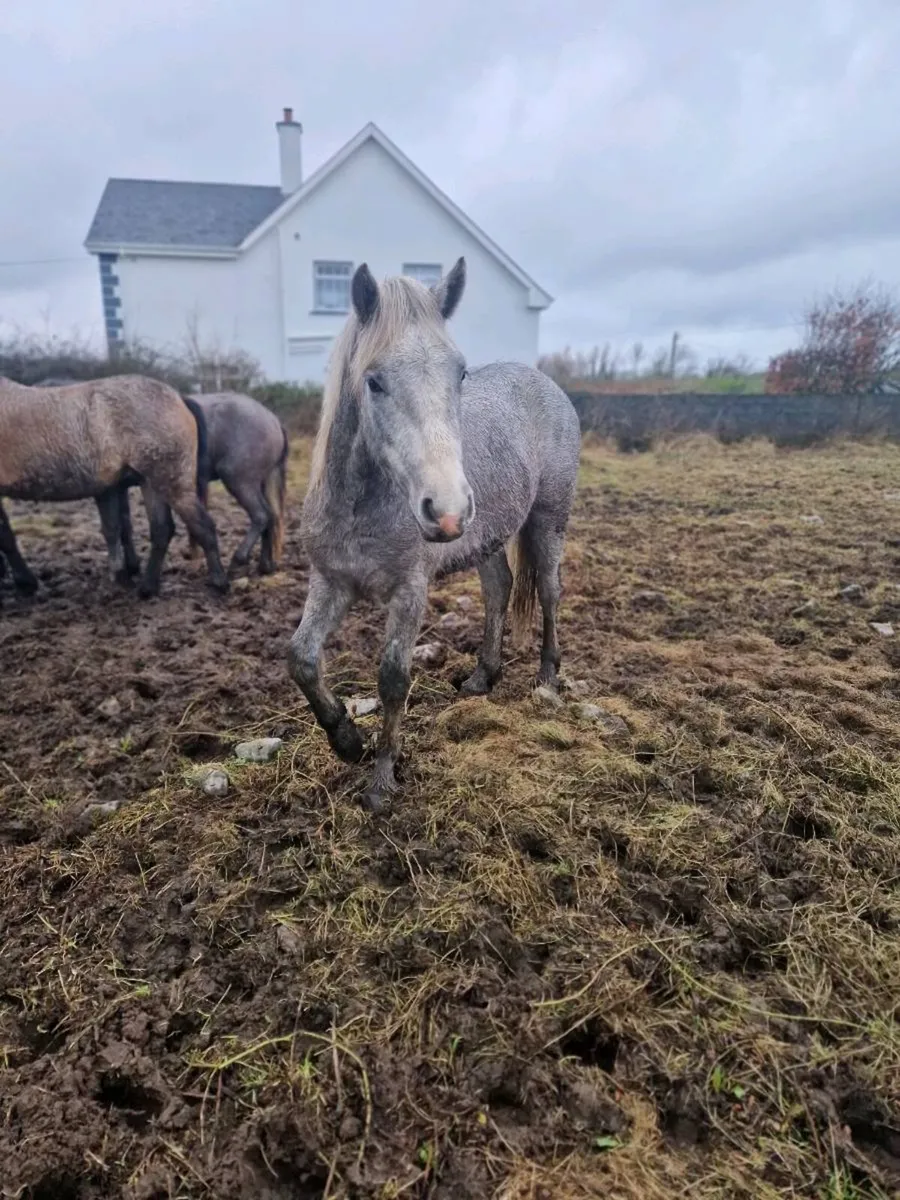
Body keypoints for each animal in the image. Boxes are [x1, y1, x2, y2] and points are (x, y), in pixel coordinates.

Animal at [0, 374, 228, 599]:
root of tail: (178, 397)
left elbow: (6, 536)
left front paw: (26, 582)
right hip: (150, 483)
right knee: (162, 529)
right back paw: (147, 587)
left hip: (172, 484)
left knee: (204, 526)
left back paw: (219, 583)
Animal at [287, 257, 581, 812]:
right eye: (374, 381)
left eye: (460, 373)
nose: (446, 509)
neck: (363, 506)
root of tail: (546, 384)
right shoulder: (329, 581)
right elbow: (302, 659)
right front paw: (346, 741)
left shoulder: (410, 591)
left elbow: (393, 678)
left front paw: (381, 780)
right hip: (487, 538)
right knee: (499, 590)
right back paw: (483, 677)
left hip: (548, 520)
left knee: (550, 593)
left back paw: (547, 681)